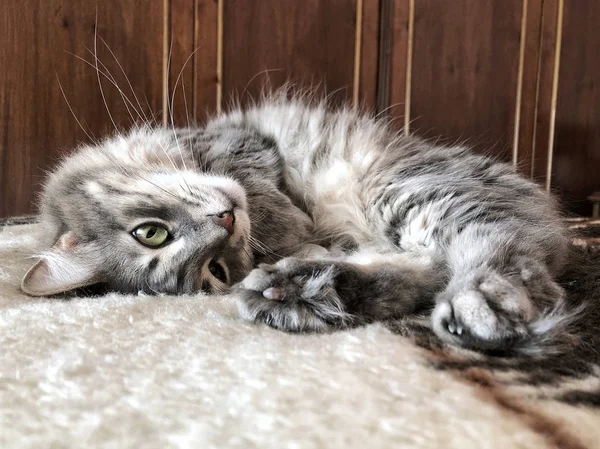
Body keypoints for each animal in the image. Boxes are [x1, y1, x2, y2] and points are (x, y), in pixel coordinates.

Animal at [19, 94, 572, 354]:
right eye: (216, 272)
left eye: (150, 232)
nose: (226, 220)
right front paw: (297, 242)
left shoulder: (235, 143)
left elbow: (260, 191)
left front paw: (290, 226)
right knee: (429, 272)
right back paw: (304, 291)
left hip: (410, 193)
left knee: (500, 253)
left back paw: (478, 305)